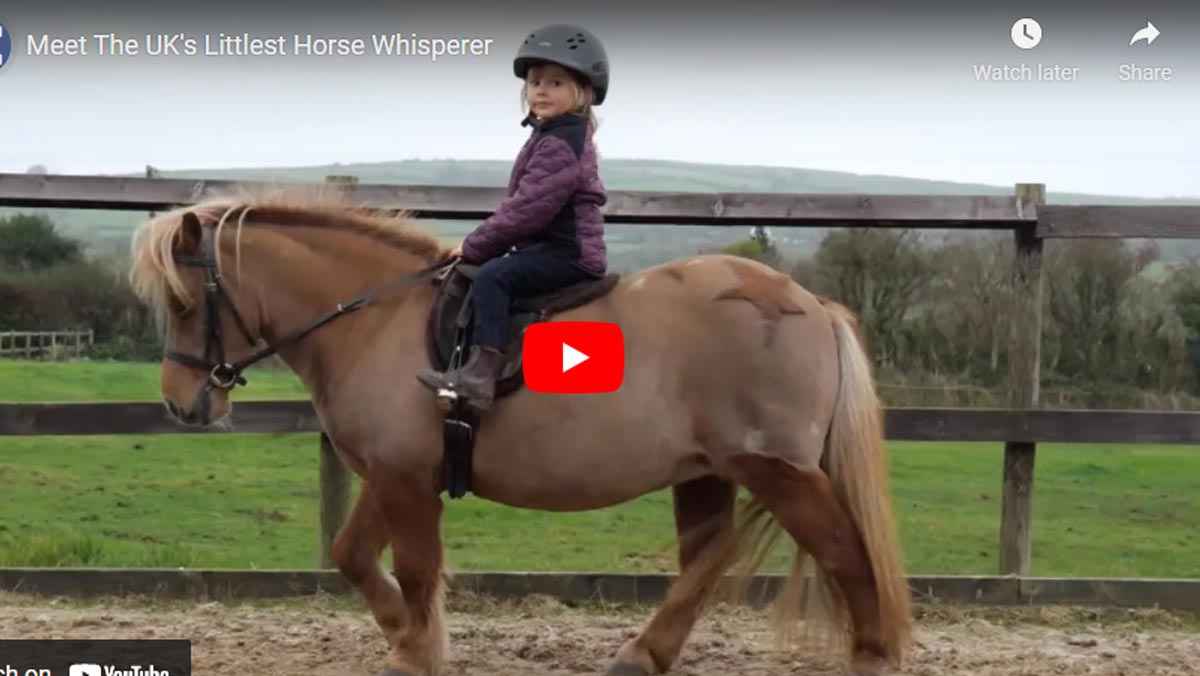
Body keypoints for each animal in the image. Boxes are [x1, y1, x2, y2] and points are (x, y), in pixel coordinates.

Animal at [129, 186, 907, 676]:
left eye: (186, 302)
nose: (180, 402)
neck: (375, 320)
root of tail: (810, 303)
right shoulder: (393, 474)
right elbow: (352, 554)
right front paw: (405, 632)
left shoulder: (405, 479)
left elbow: (417, 565)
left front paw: (414, 652)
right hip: (710, 471)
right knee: (707, 560)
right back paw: (643, 653)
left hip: (776, 469)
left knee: (843, 549)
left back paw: (871, 653)